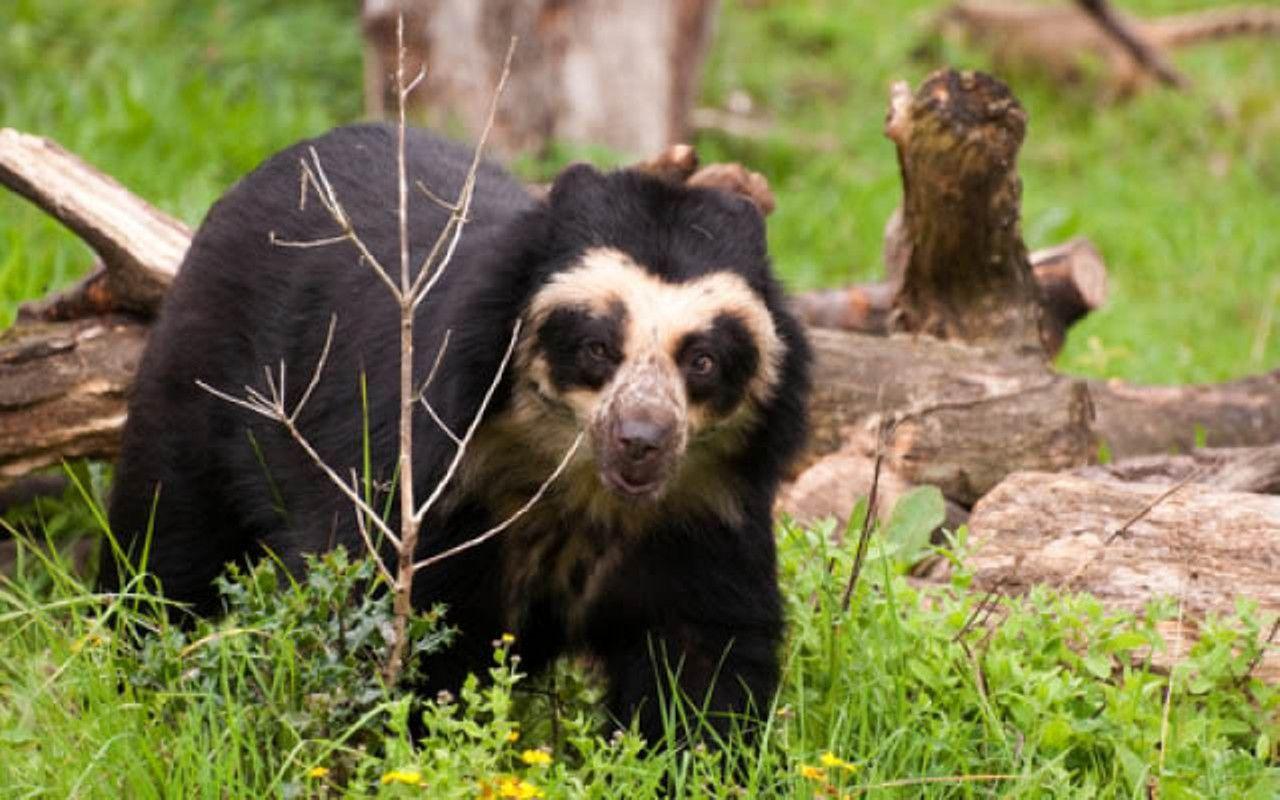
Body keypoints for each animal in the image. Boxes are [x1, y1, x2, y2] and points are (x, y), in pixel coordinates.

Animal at [102, 123, 811, 742]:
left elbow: (704, 653)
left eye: (703, 359)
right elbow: (384, 610)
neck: (573, 479)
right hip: (203, 378)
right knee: (169, 536)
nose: (642, 441)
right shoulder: (434, 473)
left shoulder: (705, 505)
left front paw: (689, 755)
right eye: (596, 347)